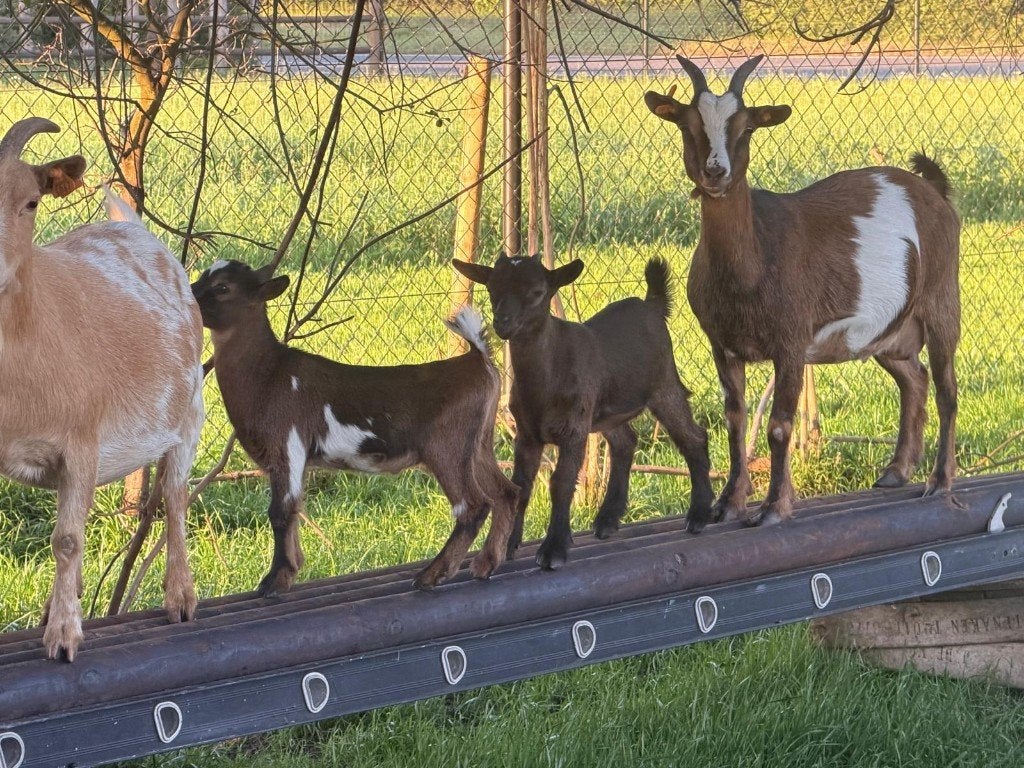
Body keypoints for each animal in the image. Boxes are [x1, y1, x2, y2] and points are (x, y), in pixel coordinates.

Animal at [0, 118, 205, 661]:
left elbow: (67, 540)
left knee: (174, 495)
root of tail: (129, 224)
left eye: (31, 202)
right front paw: (60, 617)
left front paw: (63, 638)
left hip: (190, 412)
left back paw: (180, 599)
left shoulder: (82, 441)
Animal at [190, 260, 519, 592]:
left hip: (447, 448)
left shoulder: (287, 443)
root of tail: (477, 360)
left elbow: (280, 511)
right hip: (479, 444)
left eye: (222, 287)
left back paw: (432, 574)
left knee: (473, 505)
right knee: (505, 492)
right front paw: (291, 572)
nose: (188, 300)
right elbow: (295, 508)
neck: (269, 373)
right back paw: (485, 564)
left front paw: (273, 581)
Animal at [452, 254, 713, 567]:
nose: (503, 323)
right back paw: (607, 519)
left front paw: (553, 549)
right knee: (625, 442)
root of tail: (653, 304)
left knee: (693, 436)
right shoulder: (527, 433)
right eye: (491, 289)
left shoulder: (573, 428)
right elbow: (521, 486)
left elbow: (561, 482)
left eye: (537, 291)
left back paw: (699, 514)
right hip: (607, 410)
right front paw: (508, 545)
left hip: (663, 384)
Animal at [644, 55, 960, 526]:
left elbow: (779, 426)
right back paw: (896, 471)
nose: (715, 172)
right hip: (887, 330)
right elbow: (735, 420)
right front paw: (729, 503)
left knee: (945, 388)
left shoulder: (790, 343)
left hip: (941, 300)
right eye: (687, 125)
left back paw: (939, 482)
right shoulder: (722, 345)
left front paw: (774, 507)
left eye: (747, 128)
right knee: (914, 379)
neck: (755, 258)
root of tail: (933, 191)